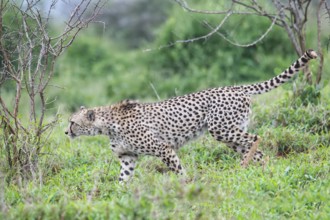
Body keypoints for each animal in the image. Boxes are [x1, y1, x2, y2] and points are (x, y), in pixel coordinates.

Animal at [65, 49, 318, 182]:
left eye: (72, 122)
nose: (66, 131)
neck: (107, 124)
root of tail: (236, 87)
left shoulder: (164, 148)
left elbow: (178, 170)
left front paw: (185, 185)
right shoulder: (128, 157)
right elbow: (122, 181)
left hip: (222, 130)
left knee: (257, 138)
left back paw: (245, 168)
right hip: (230, 133)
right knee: (255, 151)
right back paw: (259, 171)